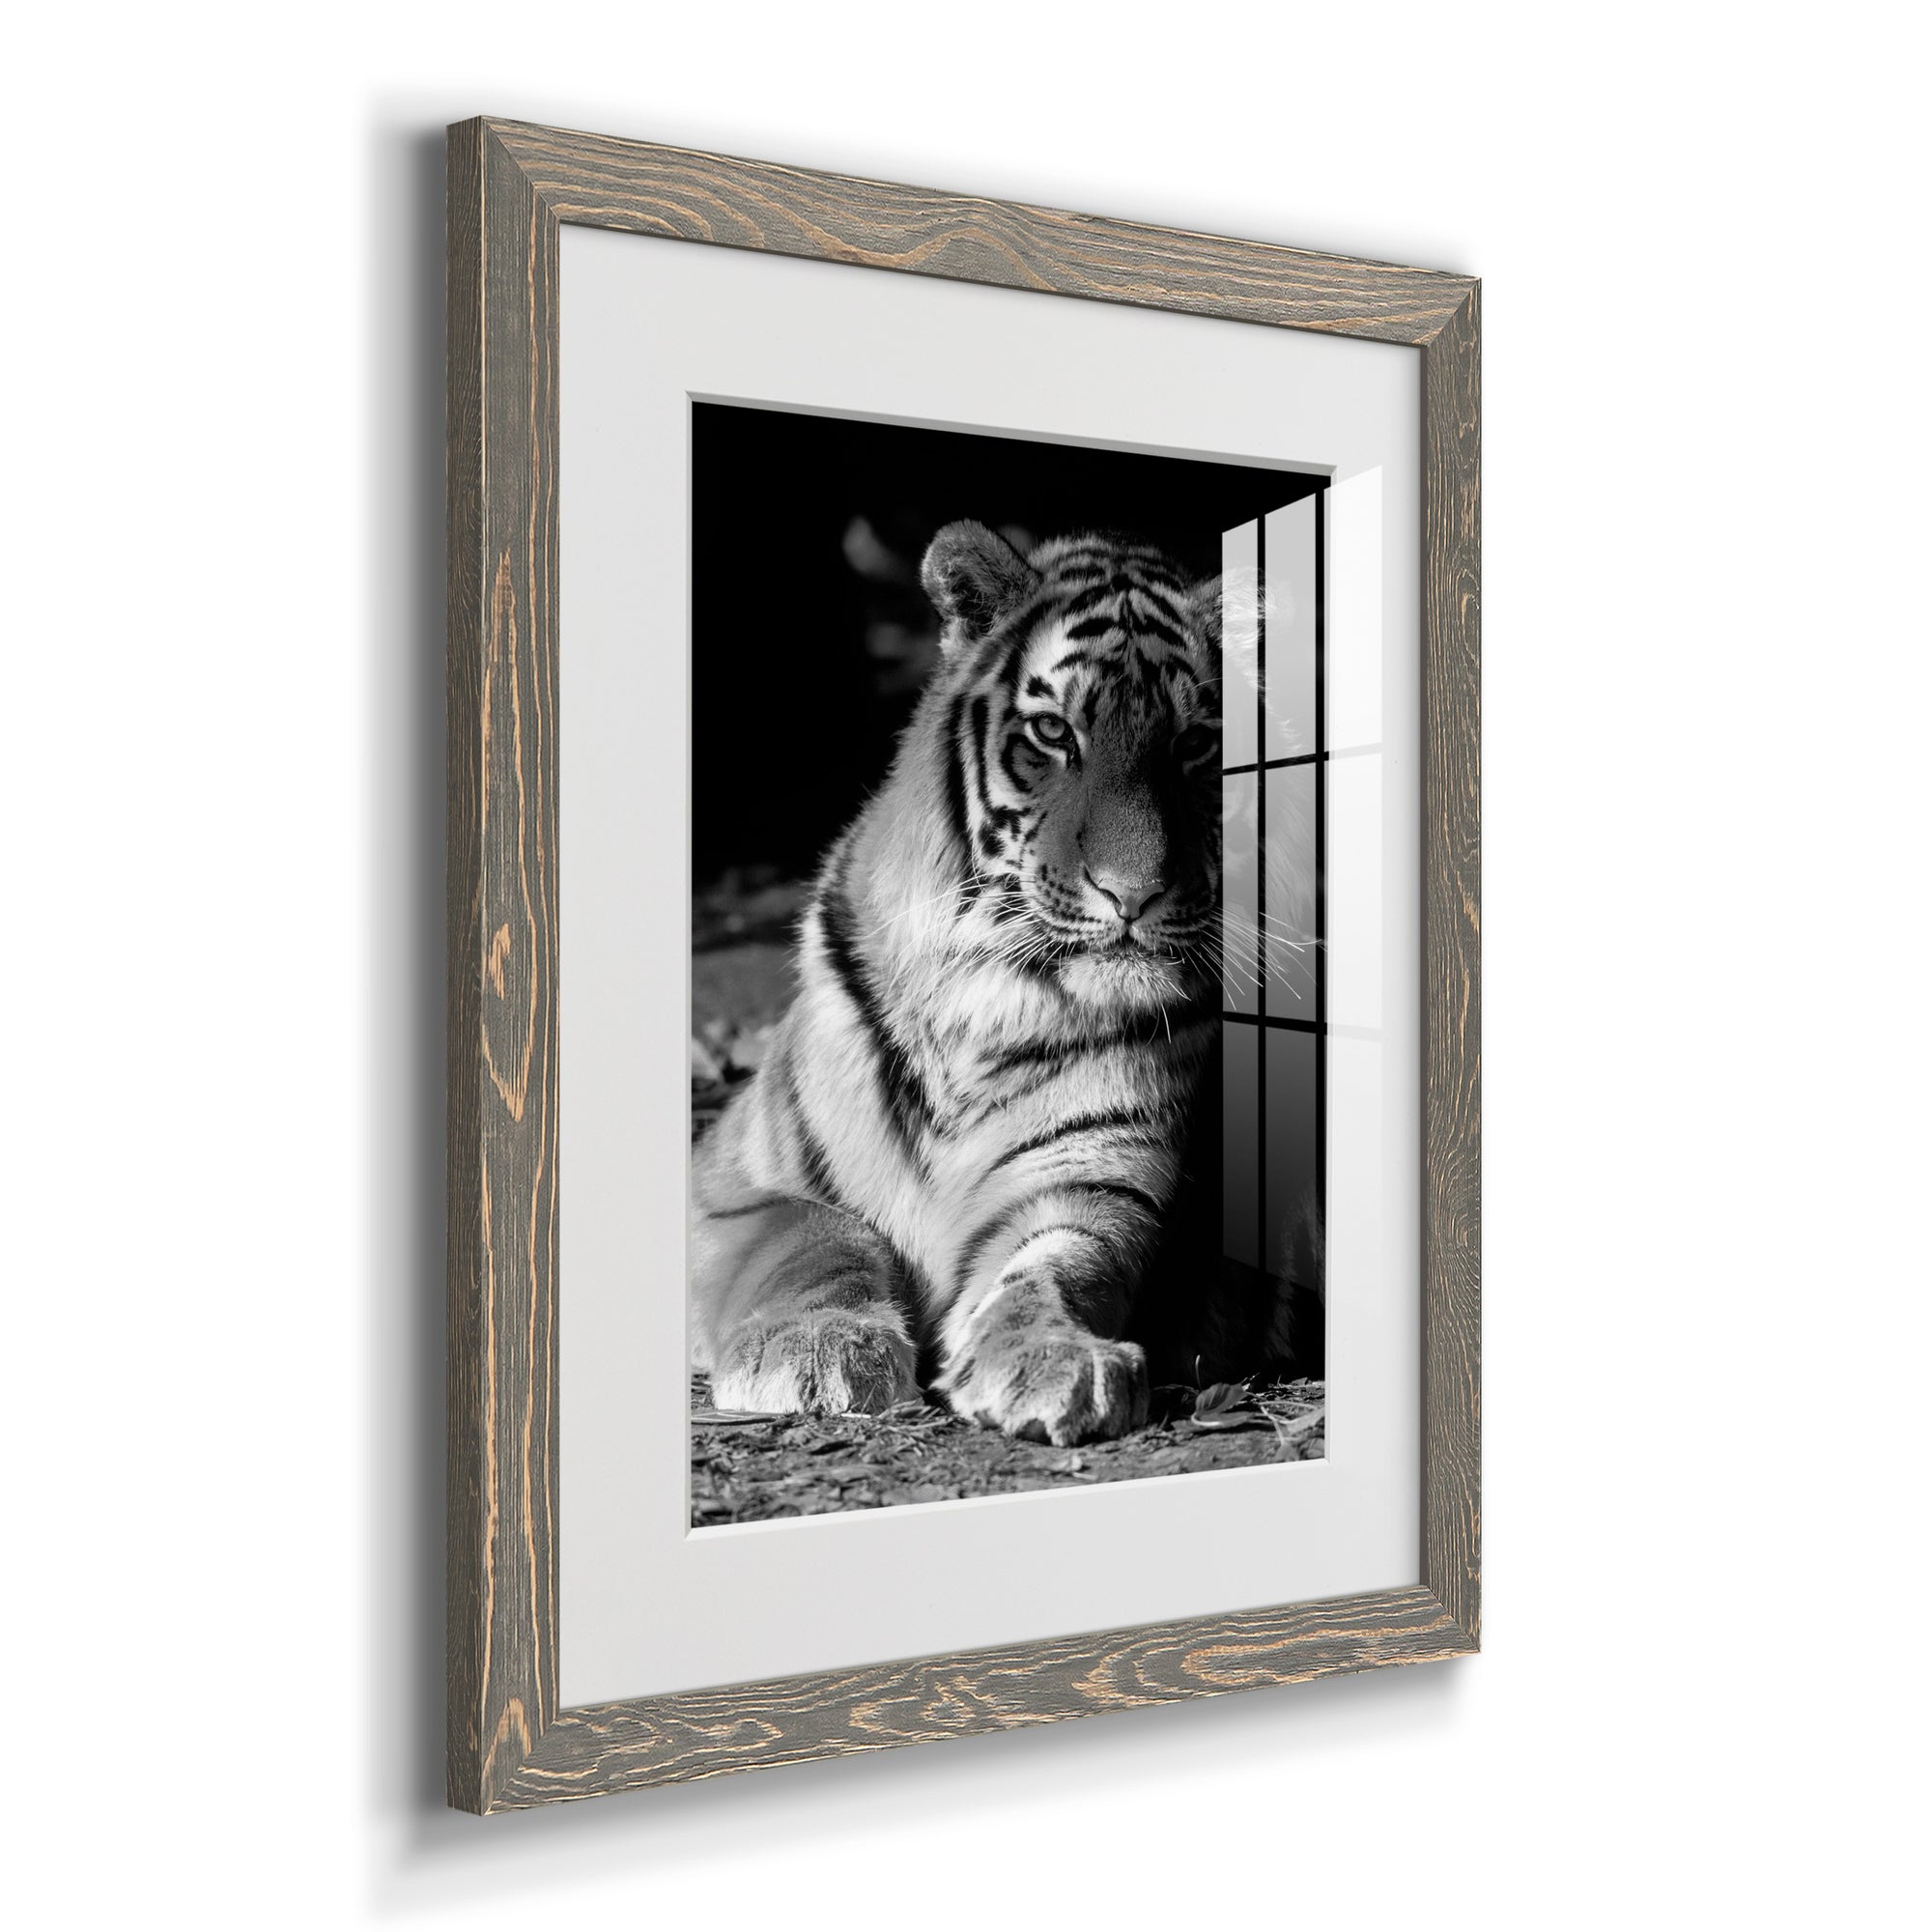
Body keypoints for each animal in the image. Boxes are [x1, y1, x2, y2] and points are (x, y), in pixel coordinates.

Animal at [690, 520, 1282, 1446]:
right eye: (1053, 732)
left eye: (1195, 744)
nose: (1133, 894)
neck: (989, 998)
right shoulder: (728, 1185)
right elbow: (816, 1233)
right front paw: (818, 1349)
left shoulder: (1090, 1182)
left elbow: (1054, 1268)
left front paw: (1055, 1359)